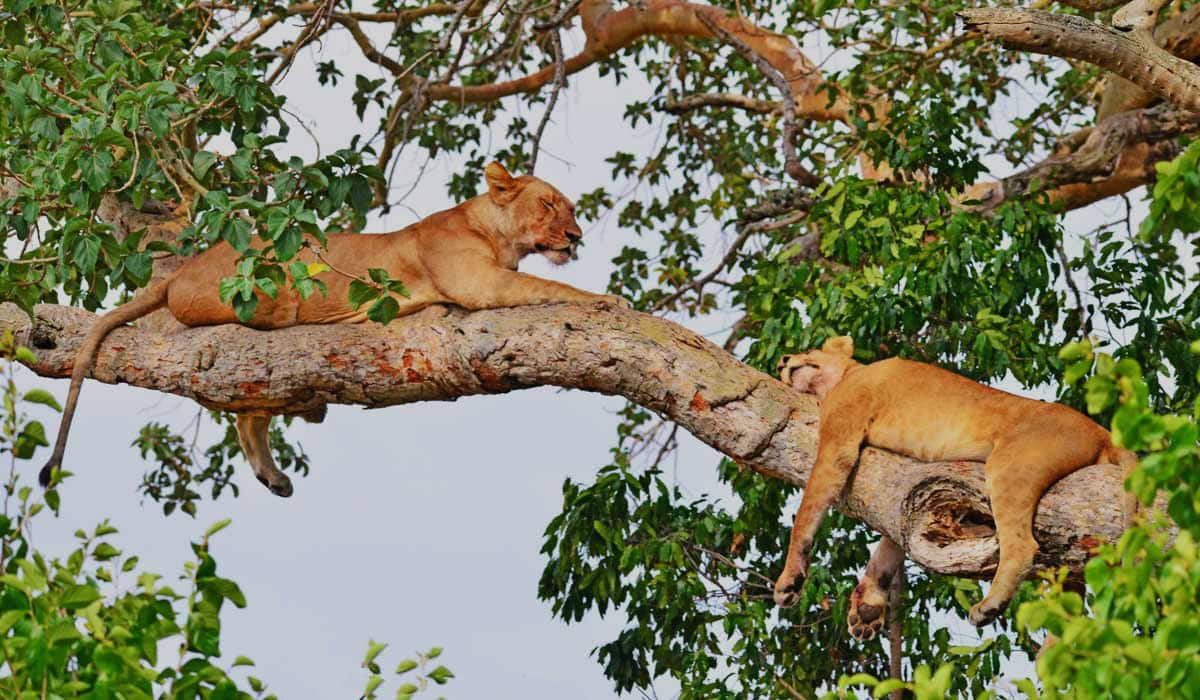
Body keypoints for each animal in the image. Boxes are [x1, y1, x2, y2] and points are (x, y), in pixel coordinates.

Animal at [41, 162, 626, 496]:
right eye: (548, 204)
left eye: (572, 209)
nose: (575, 236)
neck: (496, 233)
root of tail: (178, 273)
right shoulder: (481, 284)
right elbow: (555, 286)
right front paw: (609, 299)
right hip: (275, 285)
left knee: (248, 407)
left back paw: (276, 472)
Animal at [772, 336, 1138, 631]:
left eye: (807, 349)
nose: (781, 361)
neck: (848, 375)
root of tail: (1101, 431)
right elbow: (891, 543)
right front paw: (868, 607)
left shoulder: (839, 441)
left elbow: (806, 515)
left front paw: (789, 580)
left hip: (1010, 466)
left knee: (1022, 546)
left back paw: (989, 607)